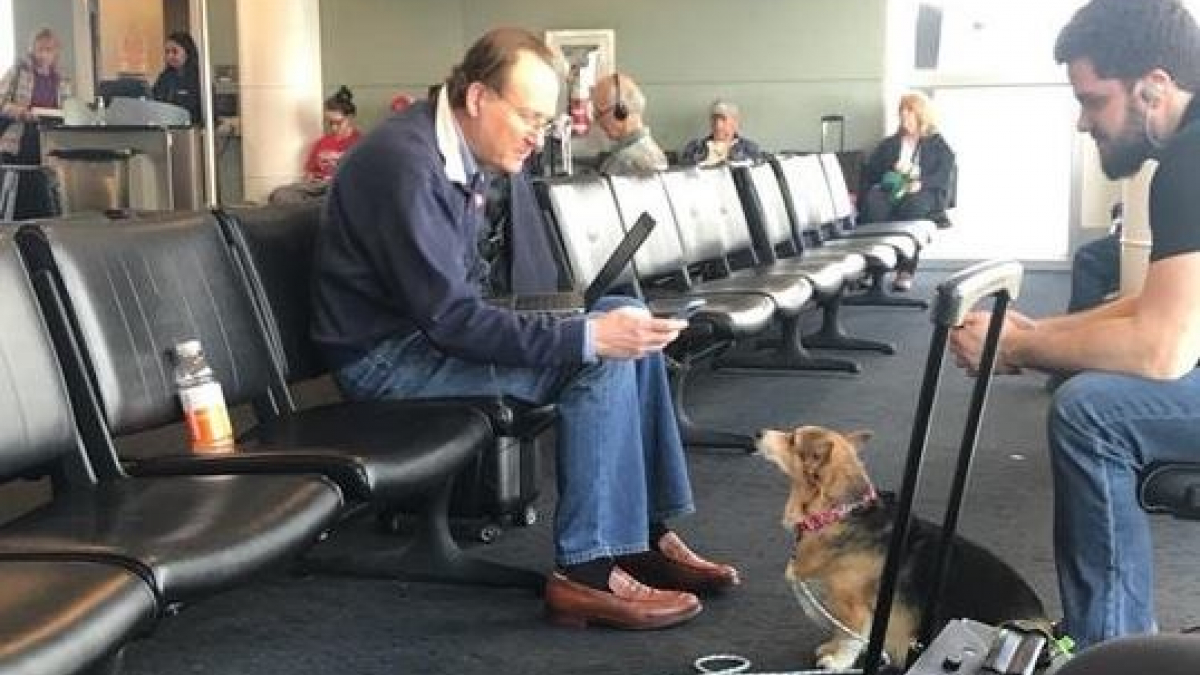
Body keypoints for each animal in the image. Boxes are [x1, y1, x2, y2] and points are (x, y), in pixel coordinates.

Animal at [758, 422, 1051, 662]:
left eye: (792, 439)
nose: (757, 433)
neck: (836, 513)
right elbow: (839, 635)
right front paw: (830, 648)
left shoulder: (854, 609)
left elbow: (849, 639)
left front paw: (836, 661)